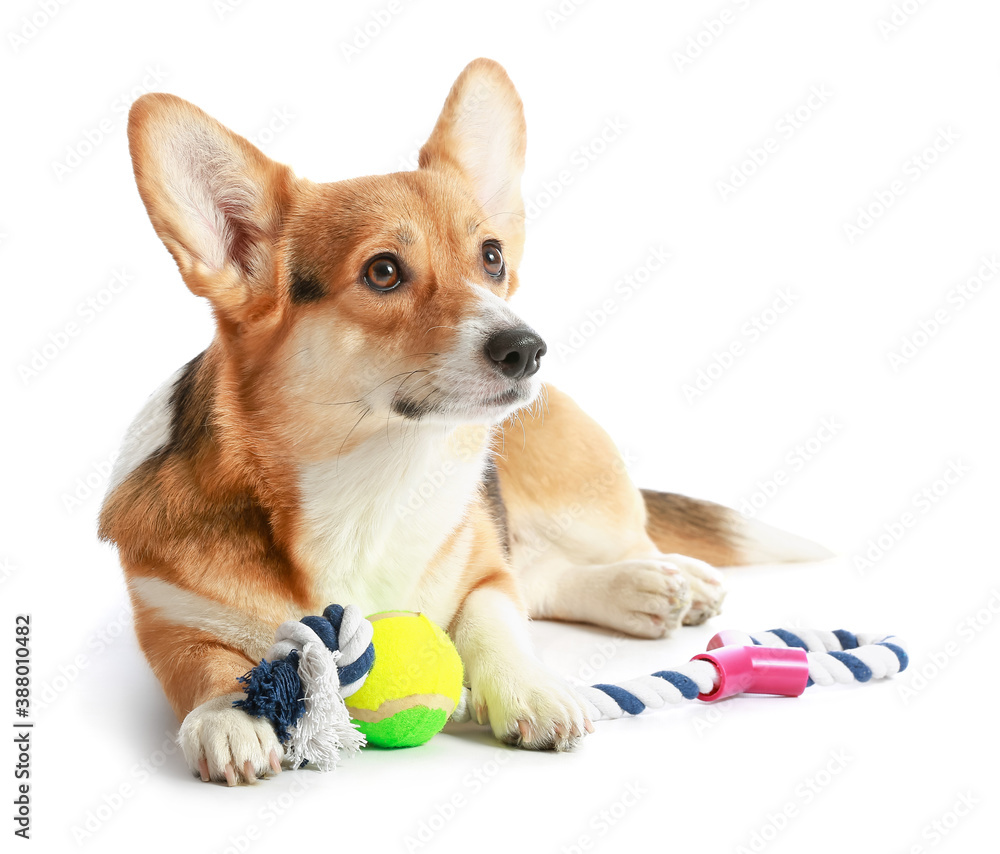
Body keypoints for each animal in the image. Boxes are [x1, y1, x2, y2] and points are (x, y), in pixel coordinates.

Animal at [99, 56, 828, 784]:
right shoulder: (166, 616)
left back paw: (666, 577)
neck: (369, 485)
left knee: (611, 547)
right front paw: (231, 714)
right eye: (383, 271)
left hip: (582, 501)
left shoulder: (482, 571)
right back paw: (641, 593)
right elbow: (203, 660)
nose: (528, 349)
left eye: (492, 256)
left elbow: (494, 620)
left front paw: (528, 687)